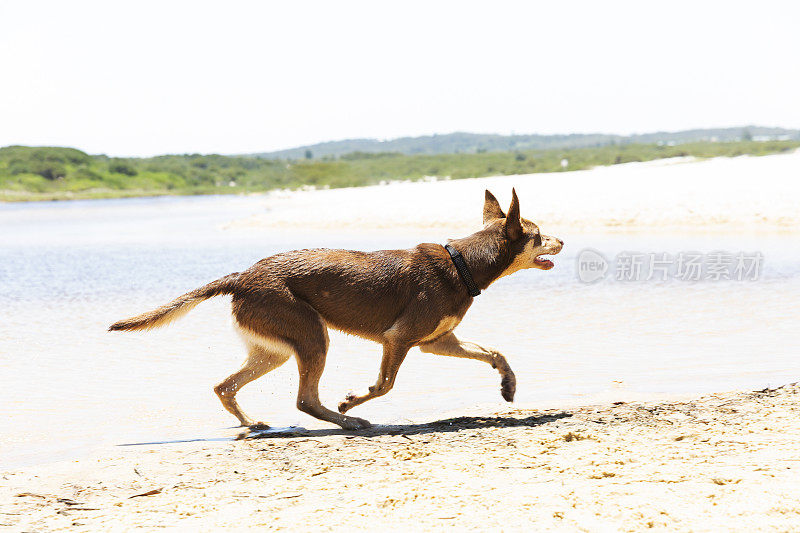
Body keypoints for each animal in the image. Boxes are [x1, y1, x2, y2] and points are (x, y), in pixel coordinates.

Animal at [109, 189, 564, 430]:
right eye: (540, 235)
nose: (562, 240)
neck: (463, 263)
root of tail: (241, 277)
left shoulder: (437, 341)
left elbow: (494, 352)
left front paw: (508, 386)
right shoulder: (400, 340)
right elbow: (384, 385)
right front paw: (351, 402)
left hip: (275, 349)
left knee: (226, 386)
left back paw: (252, 424)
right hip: (313, 336)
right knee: (304, 400)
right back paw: (346, 421)